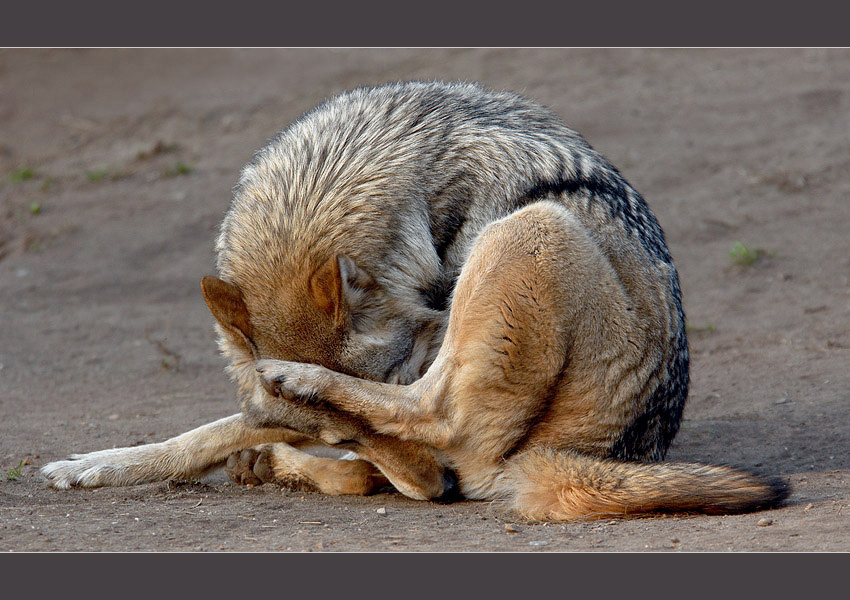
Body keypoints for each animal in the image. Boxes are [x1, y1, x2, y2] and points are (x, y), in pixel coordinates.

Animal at [42, 81, 789, 520]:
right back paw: (283, 458)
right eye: (340, 433)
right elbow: (213, 428)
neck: (429, 194)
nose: (439, 490)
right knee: (361, 458)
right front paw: (97, 466)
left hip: (533, 228)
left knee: (433, 421)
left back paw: (306, 411)